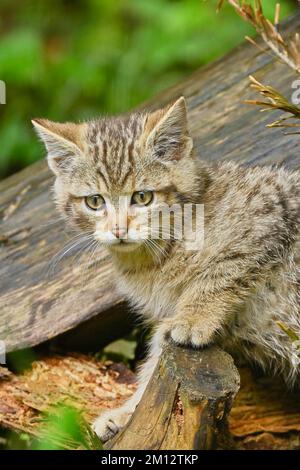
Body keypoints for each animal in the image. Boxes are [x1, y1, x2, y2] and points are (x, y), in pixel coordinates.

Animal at [32, 95, 300, 440]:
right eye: (94, 202)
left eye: (142, 197)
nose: (118, 229)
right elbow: (159, 352)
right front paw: (128, 413)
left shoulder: (268, 212)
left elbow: (220, 271)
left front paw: (193, 317)